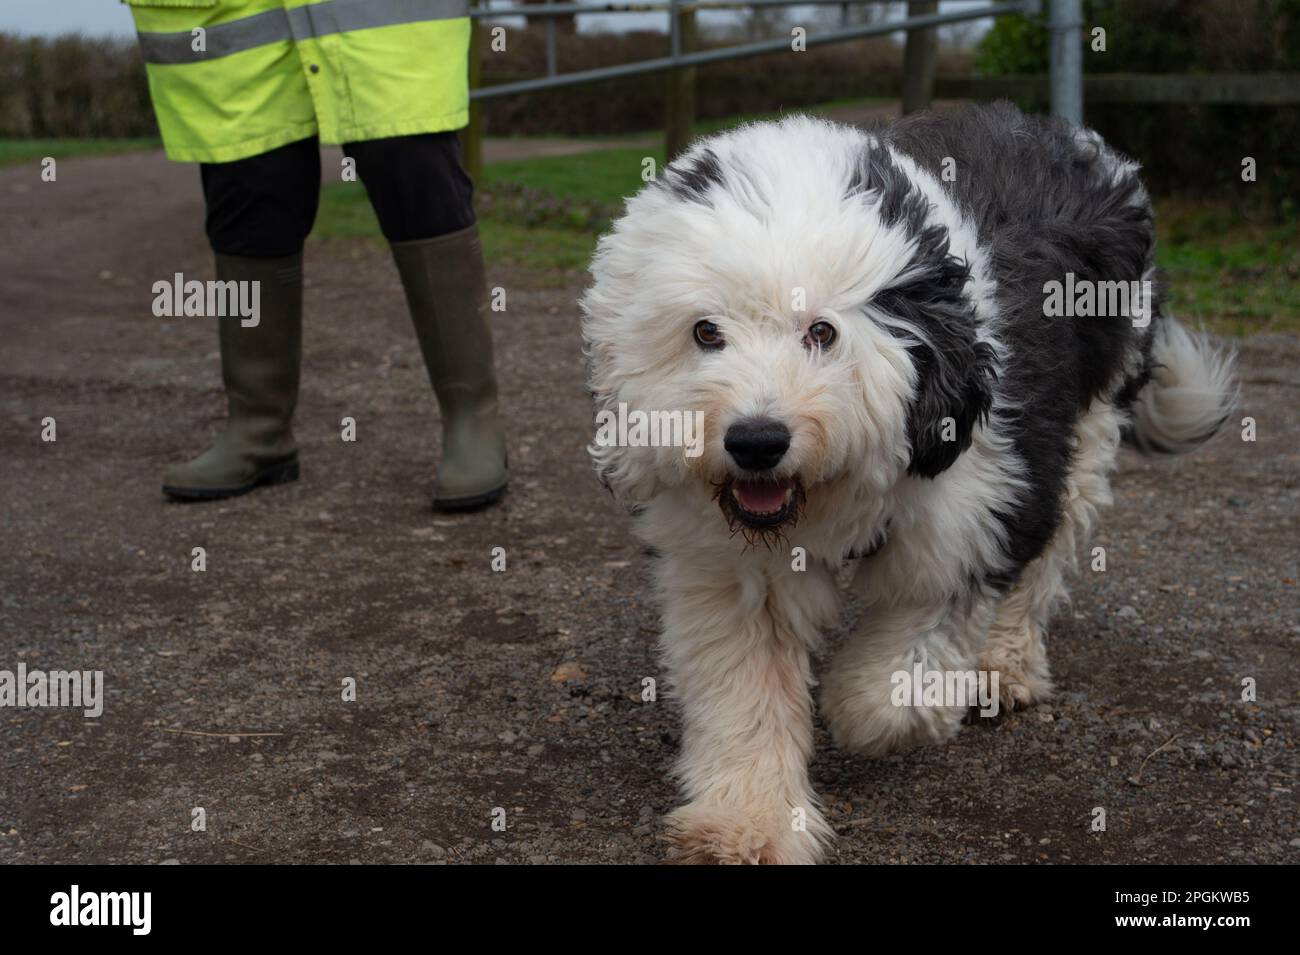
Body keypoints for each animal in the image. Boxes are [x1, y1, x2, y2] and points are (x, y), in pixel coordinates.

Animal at [579, 104, 1237, 867]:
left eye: (823, 332)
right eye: (706, 331)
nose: (757, 441)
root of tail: (1068, 136)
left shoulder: (980, 506)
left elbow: (900, 667)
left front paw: (868, 705)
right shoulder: (736, 573)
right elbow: (744, 688)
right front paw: (749, 822)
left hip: (1091, 417)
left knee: (1052, 545)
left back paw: (1003, 665)